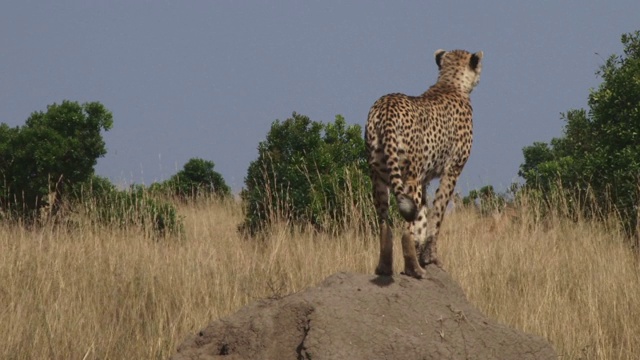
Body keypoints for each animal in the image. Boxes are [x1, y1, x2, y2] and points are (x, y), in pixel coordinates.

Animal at [364, 48, 480, 278]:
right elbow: (436, 215)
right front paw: (430, 258)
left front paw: (422, 254)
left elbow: (423, 219)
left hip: (379, 177)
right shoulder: (451, 171)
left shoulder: (424, 179)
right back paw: (414, 269)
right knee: (405, 227)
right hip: (409, 176)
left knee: (385, 223)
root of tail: (386, 106)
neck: (451, 83)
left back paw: (384, 268)